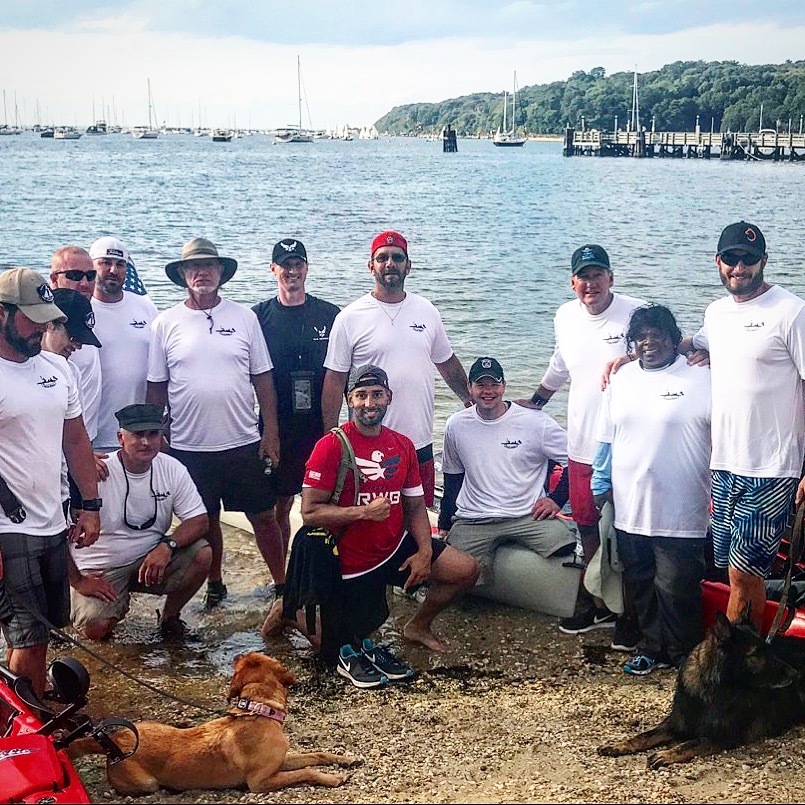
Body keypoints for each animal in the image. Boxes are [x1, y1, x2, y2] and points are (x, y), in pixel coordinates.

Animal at [596, 608, 804, 768]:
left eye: (769, 651)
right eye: (756, 654)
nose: (794, 673)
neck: (711, 689)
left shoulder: (719, 737)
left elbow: (689, 743)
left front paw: (666, 754)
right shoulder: (674, 725)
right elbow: (644, 735)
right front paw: (618, 745)